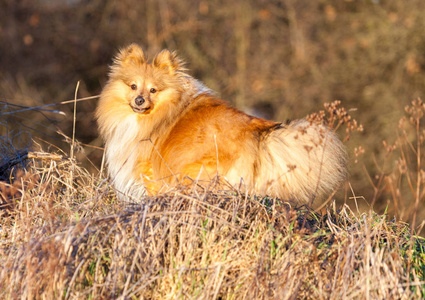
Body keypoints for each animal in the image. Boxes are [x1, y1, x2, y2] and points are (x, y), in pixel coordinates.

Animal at [95, 44, 344, 204]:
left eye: (153, 90)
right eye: (133, 86)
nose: (139, 100)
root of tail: (257, 129)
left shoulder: (148, 171)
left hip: (195, 171)